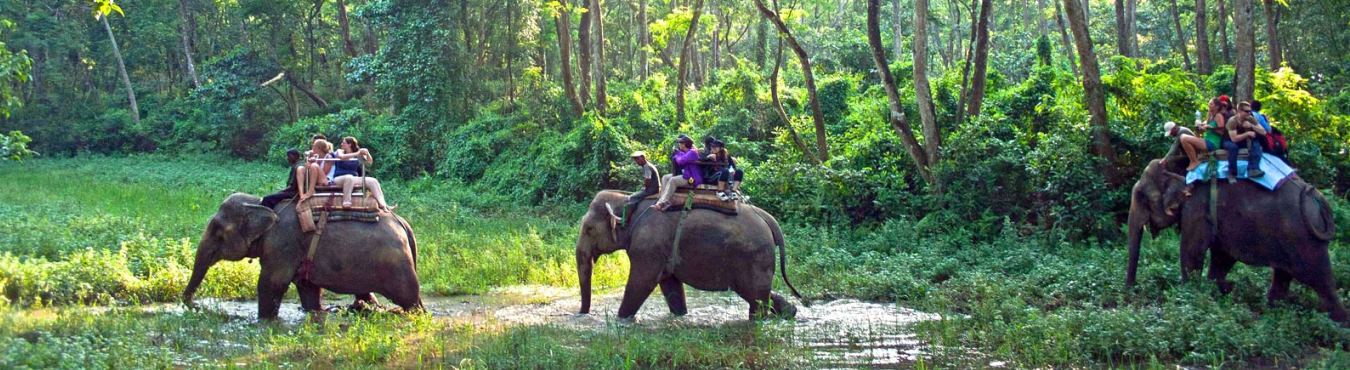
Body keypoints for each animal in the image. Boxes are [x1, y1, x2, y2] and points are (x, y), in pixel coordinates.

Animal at [180, 193, 421, 317]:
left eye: (218, 232)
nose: (197, 306)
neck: (259, 204)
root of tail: (404, 224)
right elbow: (308, 289)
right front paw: (315, 312)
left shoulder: (282, 244)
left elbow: (272, 284)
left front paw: (264, 321)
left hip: (396, 266)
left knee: (410, 299)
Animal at [572, 189, 799, 320]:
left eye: (589, 229)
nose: (581, 314)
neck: (628, 199)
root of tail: (768, 219)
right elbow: (669, 283)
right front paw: (681, 315)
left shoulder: (648, 246)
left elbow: (642, 281)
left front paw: (622, 319)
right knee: (758, 293)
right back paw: (790, 313)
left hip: (753, 257)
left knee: (755, 297)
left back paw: (758, 321)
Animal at [1123, 157, 1344, 322]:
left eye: (1141, 196)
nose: (1130, 295)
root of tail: (1317, 197)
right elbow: (1222, 256)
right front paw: (1222, 288)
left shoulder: (1197, 209)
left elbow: (1191, 253)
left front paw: (1189, 298)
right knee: (1283, 275)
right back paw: (1271, 313)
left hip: (1304, 239)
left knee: (1320, 280)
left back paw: (1338, 326)